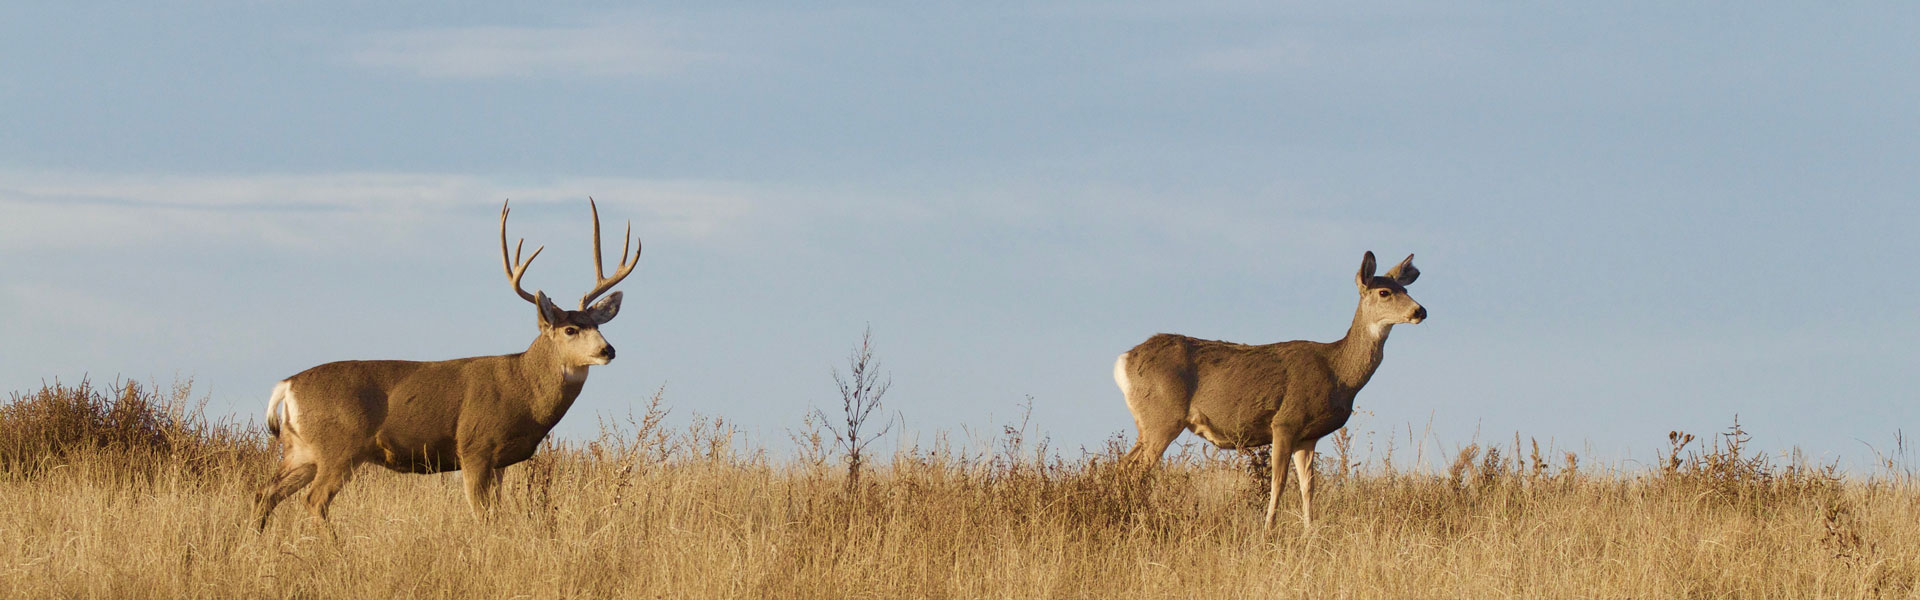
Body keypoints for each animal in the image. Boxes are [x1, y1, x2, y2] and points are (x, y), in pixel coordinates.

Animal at [250, 199, 640, 531]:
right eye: (571, 329)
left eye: (598, 325)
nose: (608, 350)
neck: (524, 389)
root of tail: (287, 385)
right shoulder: (475, 445)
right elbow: (483, 516)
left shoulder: (498, 460)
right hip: (339, 446)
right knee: (314, 500)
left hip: (300, 449)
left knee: (264, 494)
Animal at [1114, 251, 1424, 530]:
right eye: (1384, 292)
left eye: (1406, 289)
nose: (1420, 310)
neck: (1339, 372)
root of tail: (1123, 361)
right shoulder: (1285, 421)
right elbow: (1279, 482)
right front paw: (1269, 528)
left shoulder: (1308, 436)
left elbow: (1308, 485)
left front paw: (1309, 530)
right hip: (1163, 417)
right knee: (1135, 468)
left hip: (1150, 422)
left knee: (1123, 465)